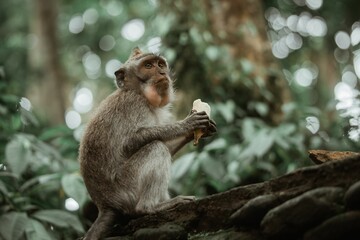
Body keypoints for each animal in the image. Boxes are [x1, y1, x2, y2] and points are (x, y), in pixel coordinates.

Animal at [79, 47, 217, 240]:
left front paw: (198, 130)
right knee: (156, 148)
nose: (162, 73)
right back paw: (151, 207)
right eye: (148, 66)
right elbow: (130, 142)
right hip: (126, 187)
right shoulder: (134, 104)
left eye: (160, 64)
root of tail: (105, 205)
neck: (138, 92)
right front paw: (187, 124)